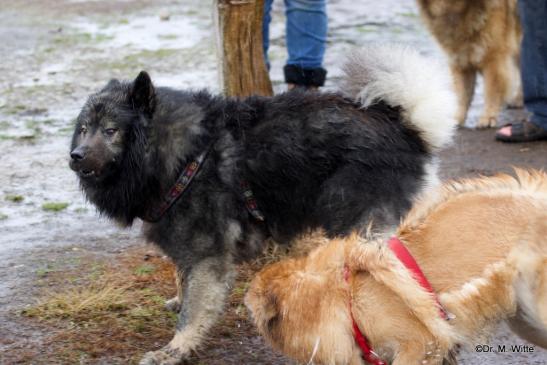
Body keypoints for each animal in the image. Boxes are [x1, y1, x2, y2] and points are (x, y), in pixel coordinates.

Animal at [69, 44, 458, 362]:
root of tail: (407, 129)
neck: (181, 153)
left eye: (111, 130)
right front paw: (178, 302)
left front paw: (175, 349)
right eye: (84, 128)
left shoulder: (207, 252)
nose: (75, 156)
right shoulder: (189, 244)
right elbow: (183, 280)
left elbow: (194, 311)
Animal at [418, 0, 524, 128]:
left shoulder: (493, 59)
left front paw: (487, 117)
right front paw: (457, 119)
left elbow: (491, 91)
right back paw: (519, 100)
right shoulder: (461, 61)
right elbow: (461, 95)